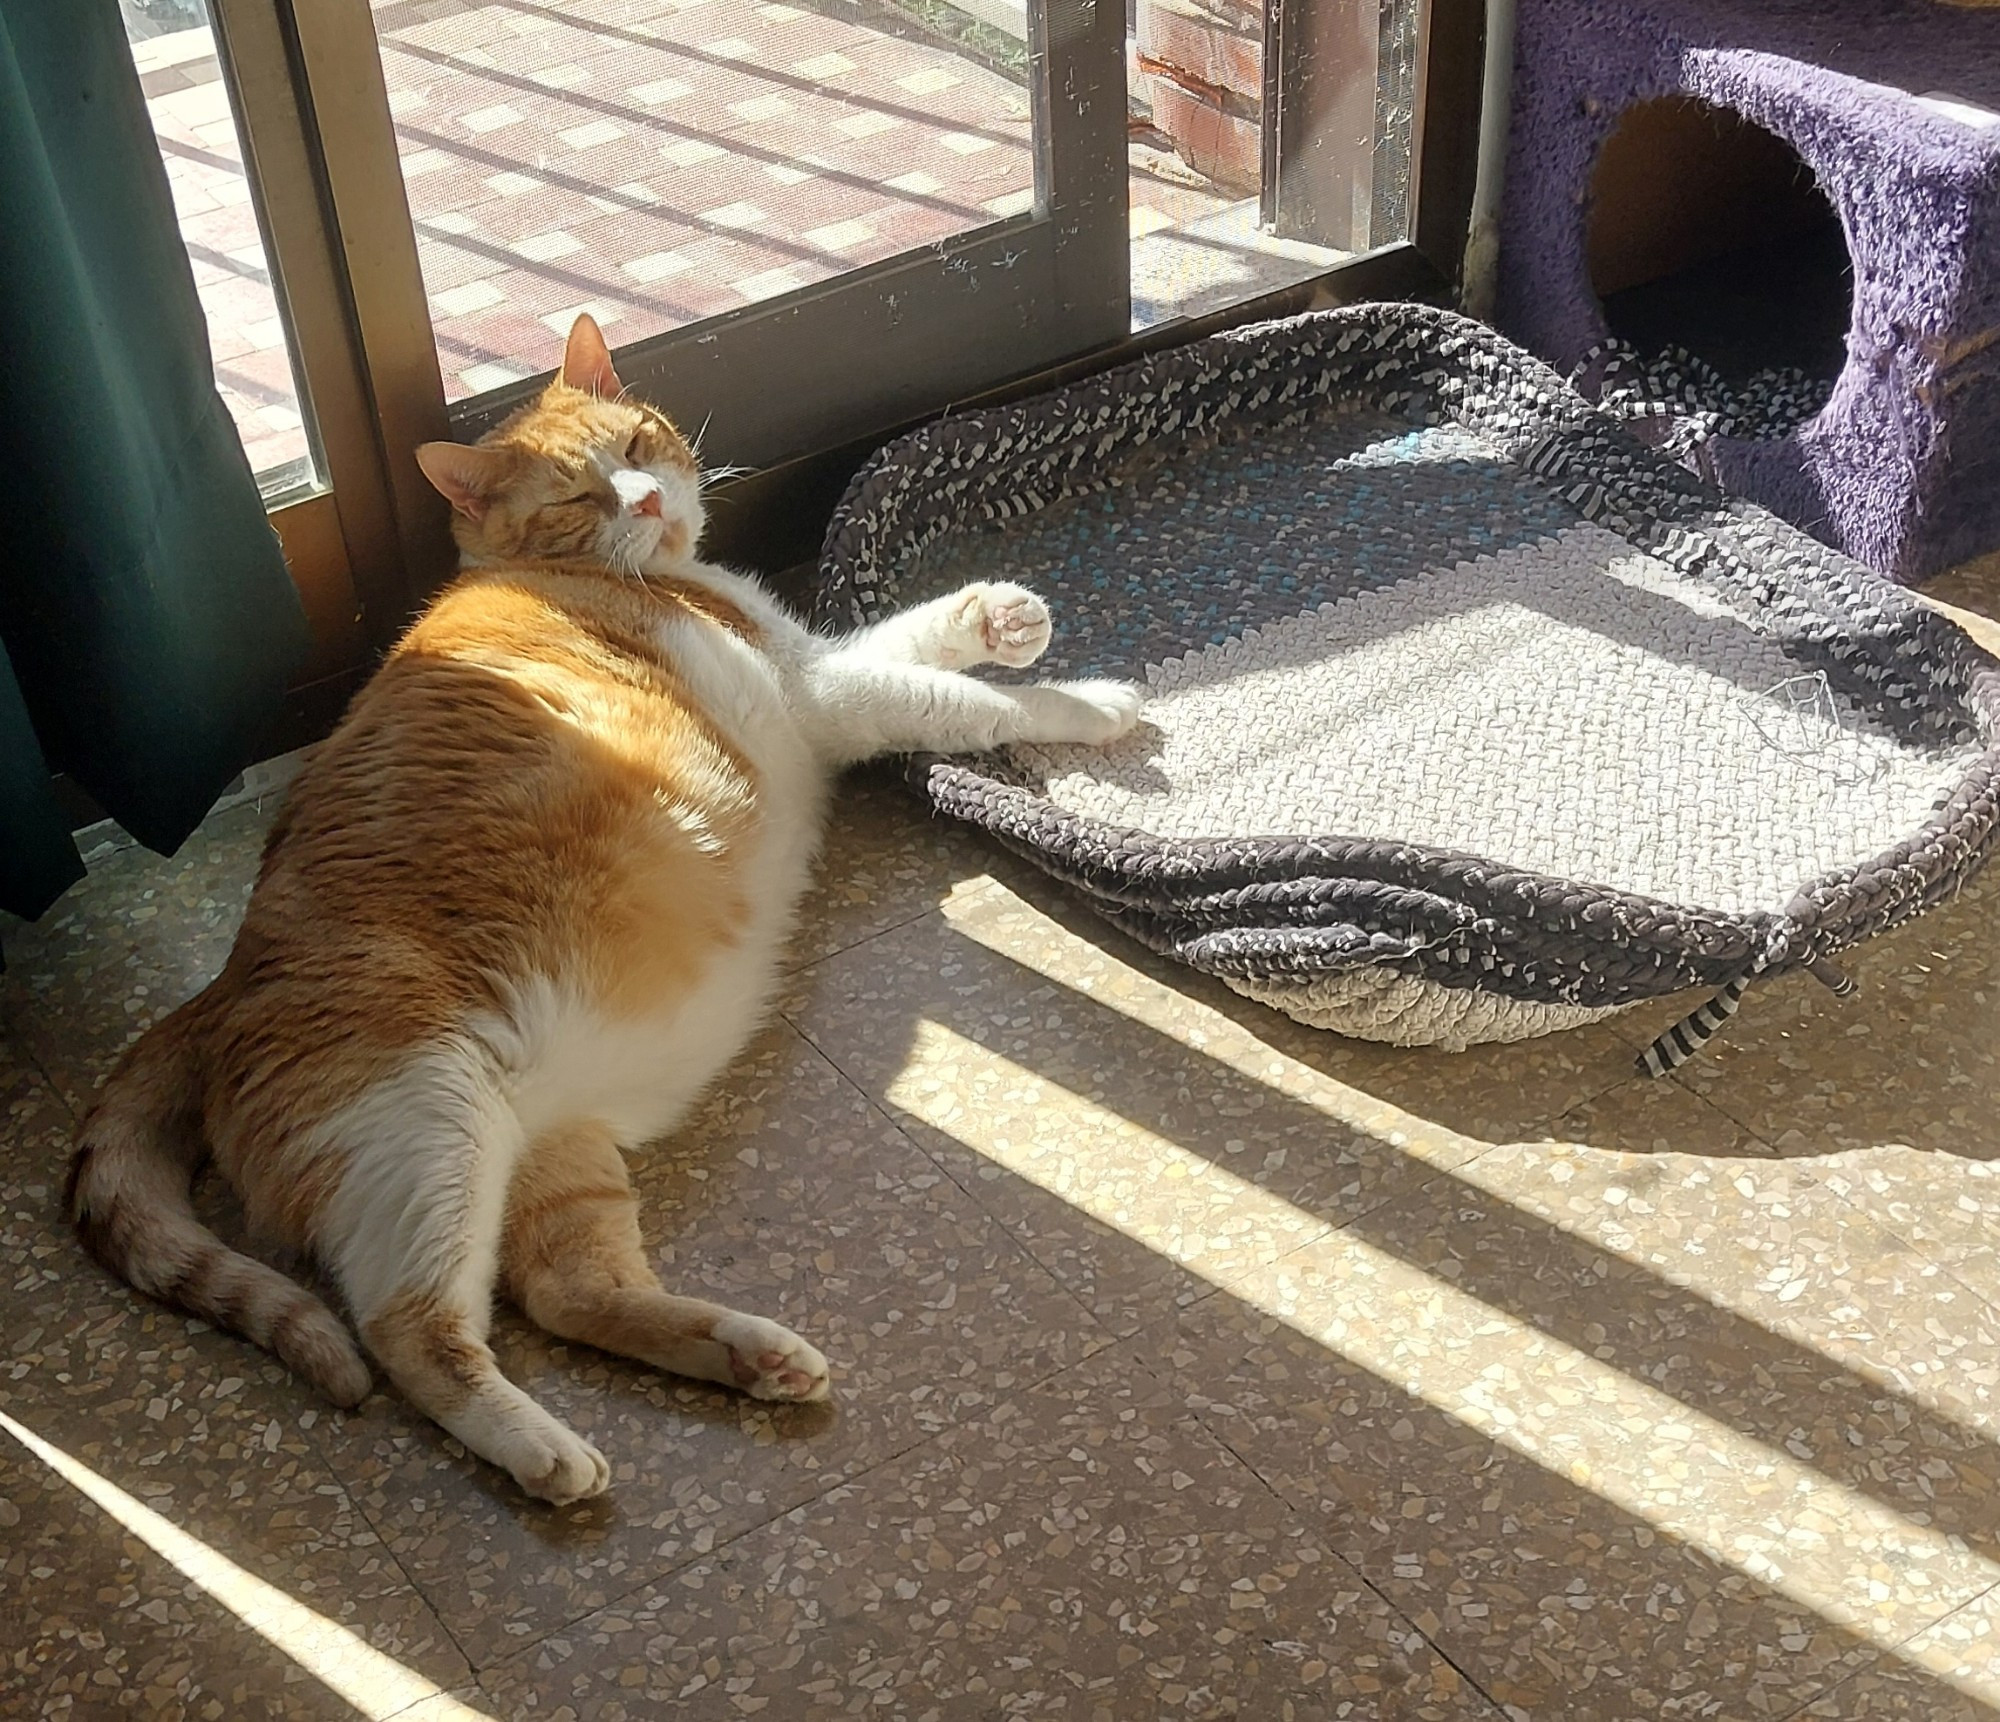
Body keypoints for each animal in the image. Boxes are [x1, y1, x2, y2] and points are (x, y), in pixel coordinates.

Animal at [66, 316, 1144, 1496]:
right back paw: (542, 1450)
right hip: (428, 1126)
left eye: (633, 444)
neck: (611, 572)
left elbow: (905, 636)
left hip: (547, 1152)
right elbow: (960, 700)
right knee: (411, 1333)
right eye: (577, 496)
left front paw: (1000, 615)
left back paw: (752, 1356)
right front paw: (1090, 704)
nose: (644, 501)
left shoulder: (809, 665)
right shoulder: (822, 697)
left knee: (567, 1293)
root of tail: (215, 992)